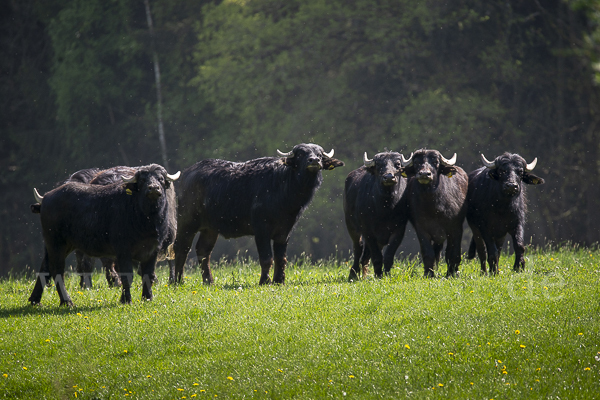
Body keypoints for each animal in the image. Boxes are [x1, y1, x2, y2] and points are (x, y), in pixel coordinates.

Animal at [28, 164, 178, 304]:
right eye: (142, 180)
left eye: (160, 179)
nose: (153, 188)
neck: (145, 219)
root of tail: (46, 198)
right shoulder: (123, 250)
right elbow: (127, 276)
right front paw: (125, 299)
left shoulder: (153, 250)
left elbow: (148, 275)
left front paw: (148, 297)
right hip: (56, 243)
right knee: (57, 270)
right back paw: (67, 301)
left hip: (63, 245)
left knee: (46, 266)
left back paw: (35, 299)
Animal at [171, 143, 344, 284]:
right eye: (301, 154)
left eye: (320, 154)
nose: (314, 161)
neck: (283, 188)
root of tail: (187, 174)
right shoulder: (261, 230)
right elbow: (266, 258)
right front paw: (265, 281)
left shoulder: (285, 231)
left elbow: (281, 259)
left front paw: (279, 281)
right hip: (187, 221)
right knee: (181, 248)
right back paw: (178, 281)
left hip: (210, 228)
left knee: (203, 251)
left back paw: (209, 281)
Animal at [344, 152, 410, 280]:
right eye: (379, 165)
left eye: (398, 164)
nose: (388, 177)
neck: (386, 208)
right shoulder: (368, 232)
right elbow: (377, 257)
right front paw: (378, 275)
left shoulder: (399, 230)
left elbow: (388, 256)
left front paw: (386, 274)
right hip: (351, 226)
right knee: (358, 248)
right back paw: (353, 274)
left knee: (365, 256)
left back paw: (364, 275)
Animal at [404, 150, 468, 278]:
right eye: (416, 162)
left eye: (435, 162)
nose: (424, 174)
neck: (434, 207)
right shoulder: (421, 229)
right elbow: (428, 253)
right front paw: (428, 273)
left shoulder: (456, 229)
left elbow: (453, 253)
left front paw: (452, 273)